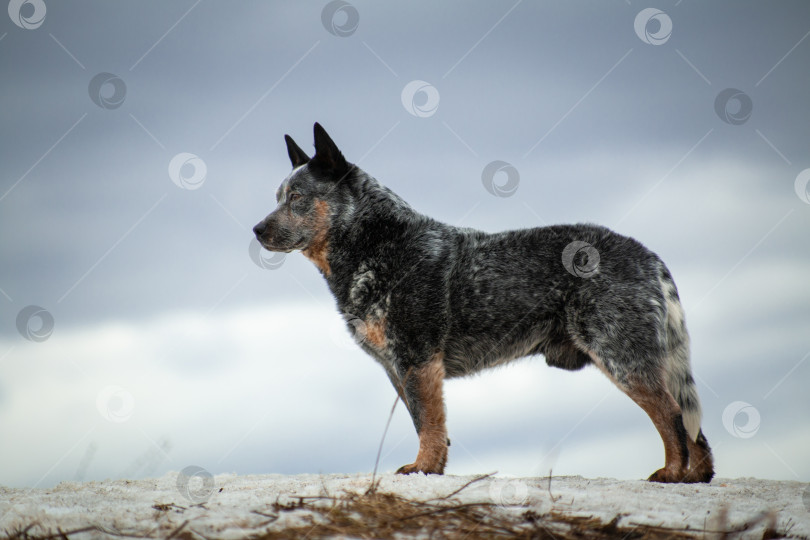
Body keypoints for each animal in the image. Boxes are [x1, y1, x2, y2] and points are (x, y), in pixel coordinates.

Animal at [252, 123, 712, 486]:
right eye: (276, 196)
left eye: (297, 197)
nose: (256, 229)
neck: (377, 245)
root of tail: (648, 255)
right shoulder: (398, 369)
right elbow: (425, 422)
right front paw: (433, 468)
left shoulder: (418, 359)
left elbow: (429, 422)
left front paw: (423, 467)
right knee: (696, 428)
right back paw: (696, 476)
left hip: (622, 357)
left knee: (672, 415)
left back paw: (673, 472)